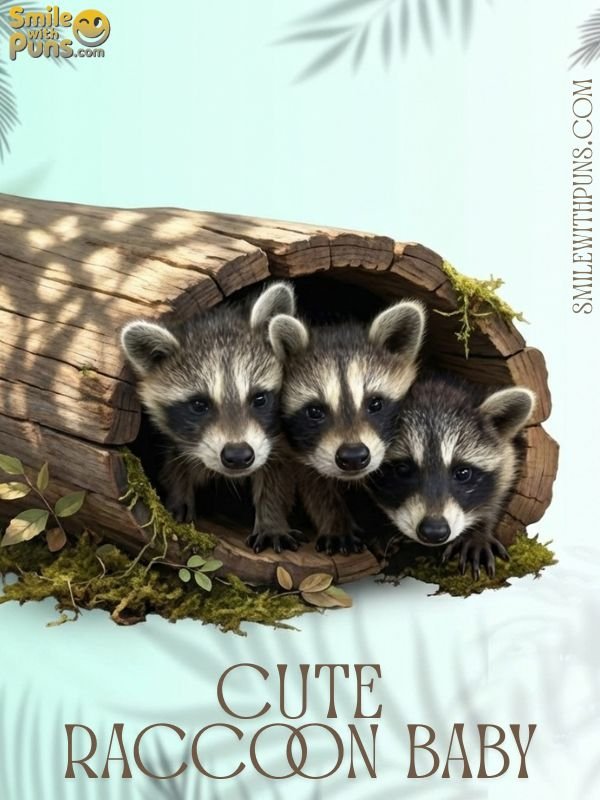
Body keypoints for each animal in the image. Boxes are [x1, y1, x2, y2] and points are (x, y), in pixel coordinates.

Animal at [120, 282, 301, 553]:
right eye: (199, 405)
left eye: (259, 399)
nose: (238, 456)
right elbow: (175, 464)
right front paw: (177, 497)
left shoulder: (274, 439)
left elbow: (276, 471)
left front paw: (272, 518)